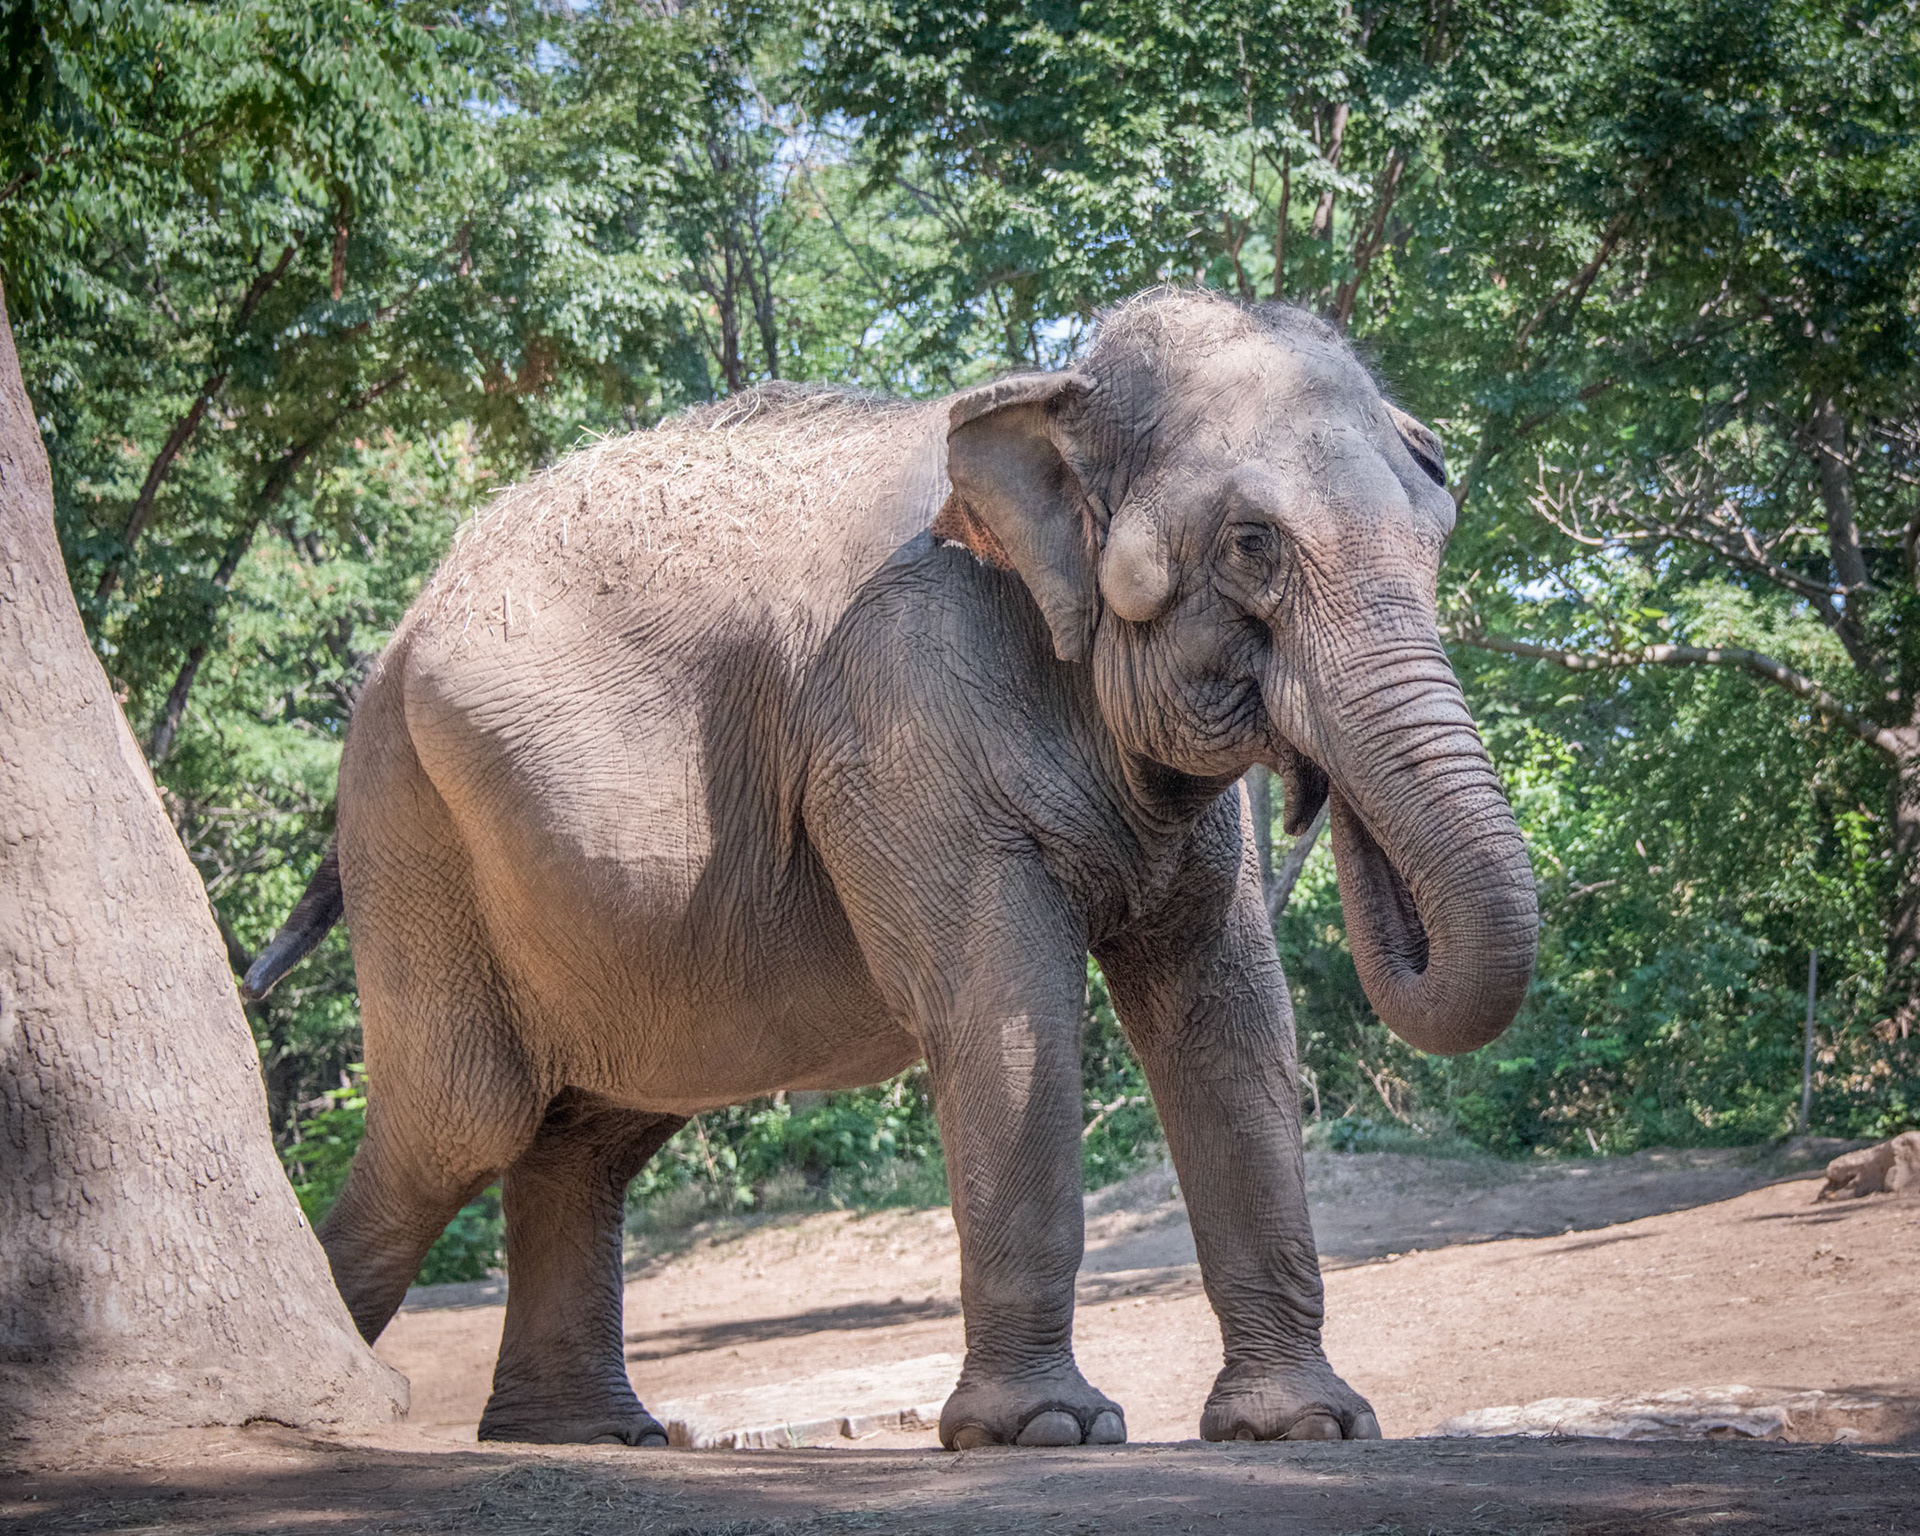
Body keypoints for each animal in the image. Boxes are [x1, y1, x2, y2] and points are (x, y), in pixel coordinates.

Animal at [245, 287, 1536, 1450]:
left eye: (1440, 528)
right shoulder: (903, 712)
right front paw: (1045, 1433)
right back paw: (330, 1413)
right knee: (460, 1124)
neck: (1059, 394)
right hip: (411, 828)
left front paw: (1307, 1426)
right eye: (1252, 547)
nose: (1322, 784)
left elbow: (1228, 1019)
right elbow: (1004, 1010)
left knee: (591, 1133)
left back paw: (585, 1436)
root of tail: (396, 637)